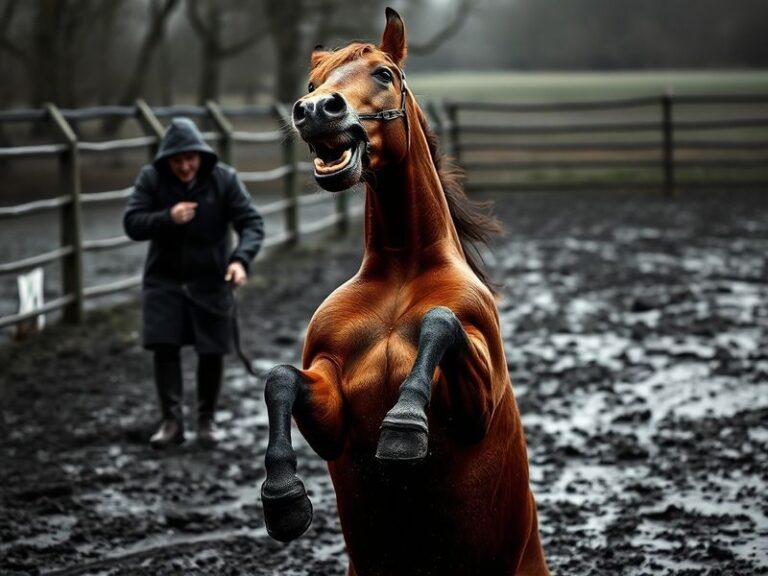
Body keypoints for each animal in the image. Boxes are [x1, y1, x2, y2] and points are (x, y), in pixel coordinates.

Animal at [260, 8, 549, 576]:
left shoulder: (477, 405)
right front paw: (282, 498)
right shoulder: (331, 414)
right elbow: (280, 378)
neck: (400, 272)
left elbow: (441, 321)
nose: (316, 110)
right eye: (312, 84)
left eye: (384, 74)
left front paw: (403, 425)